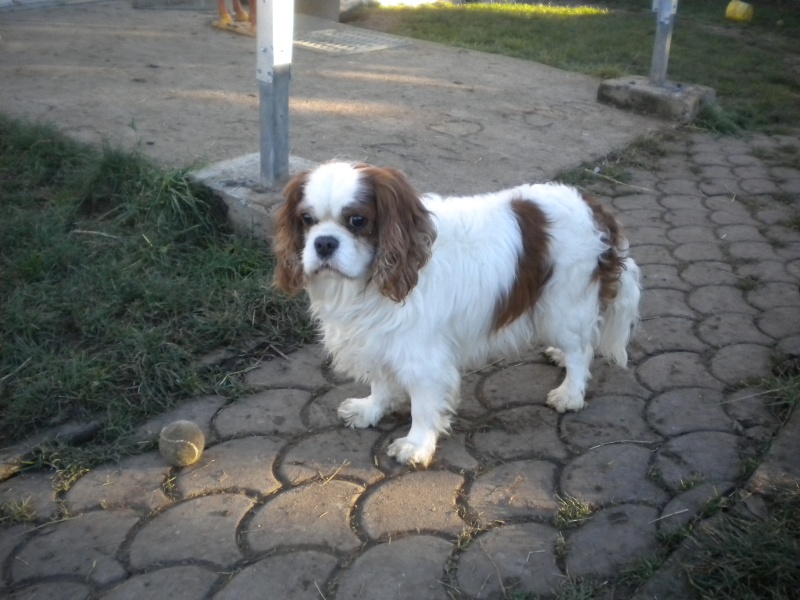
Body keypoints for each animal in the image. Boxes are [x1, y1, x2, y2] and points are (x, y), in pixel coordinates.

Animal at [272, 162, 640, 466]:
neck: (371, 281)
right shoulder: (378, 339)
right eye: (307, 220)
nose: (324, 243)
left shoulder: (422, 357)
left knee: (582, 350)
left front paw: (415, 445)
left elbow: (423, 405)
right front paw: (371, 409)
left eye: (357, 221)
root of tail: (594, 206)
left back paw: (570, 393)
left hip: (562, 307)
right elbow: (381, 381)